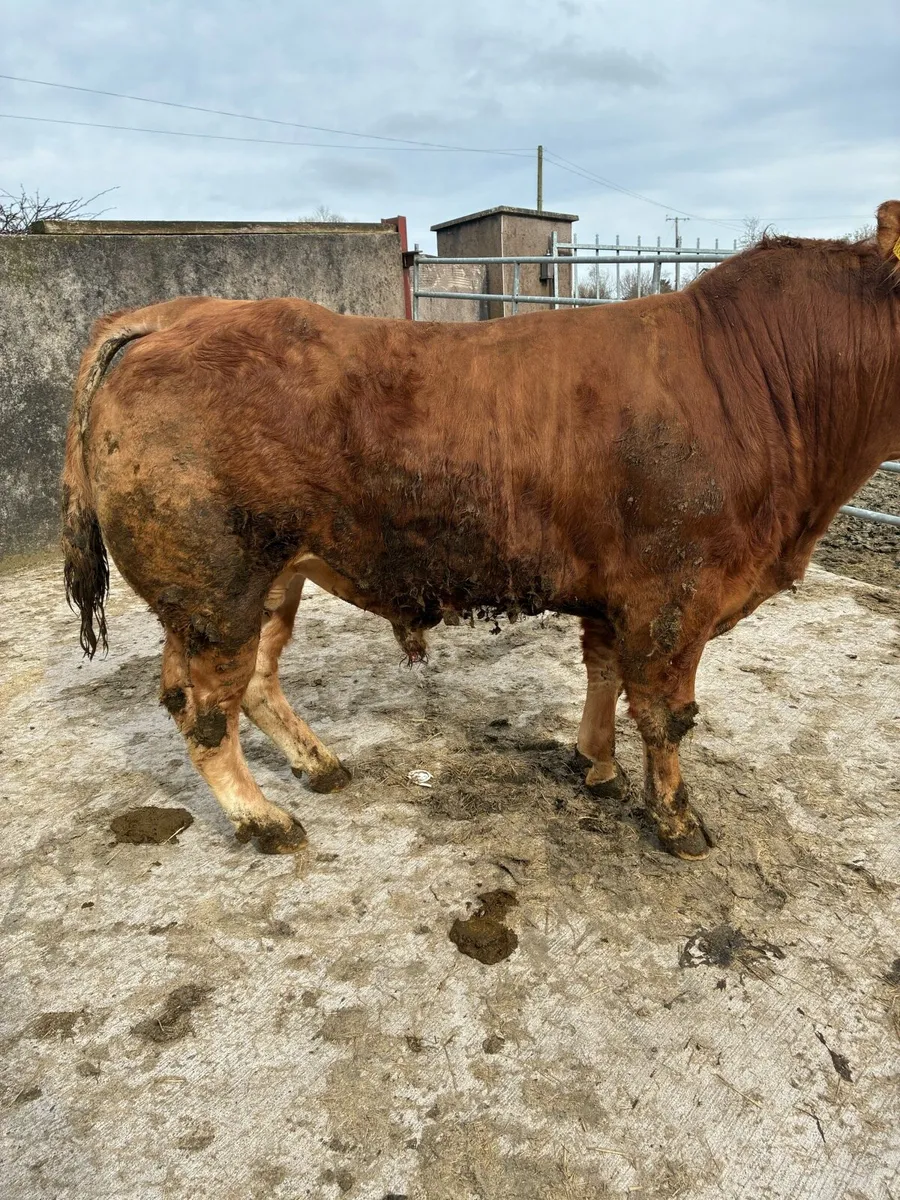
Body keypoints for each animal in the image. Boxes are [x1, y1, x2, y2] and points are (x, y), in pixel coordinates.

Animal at [61, 202, 900, 861]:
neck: (757, 377)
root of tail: (179, 313)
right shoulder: (673, 598)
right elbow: (667, 714)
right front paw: (678, 821)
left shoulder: (616, 593)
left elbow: (603, 675)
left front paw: (595, 765)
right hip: (216, 586)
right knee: (204, 710)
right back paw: (266, 818)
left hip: (269, 578)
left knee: (248, 684)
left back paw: (319, 766)